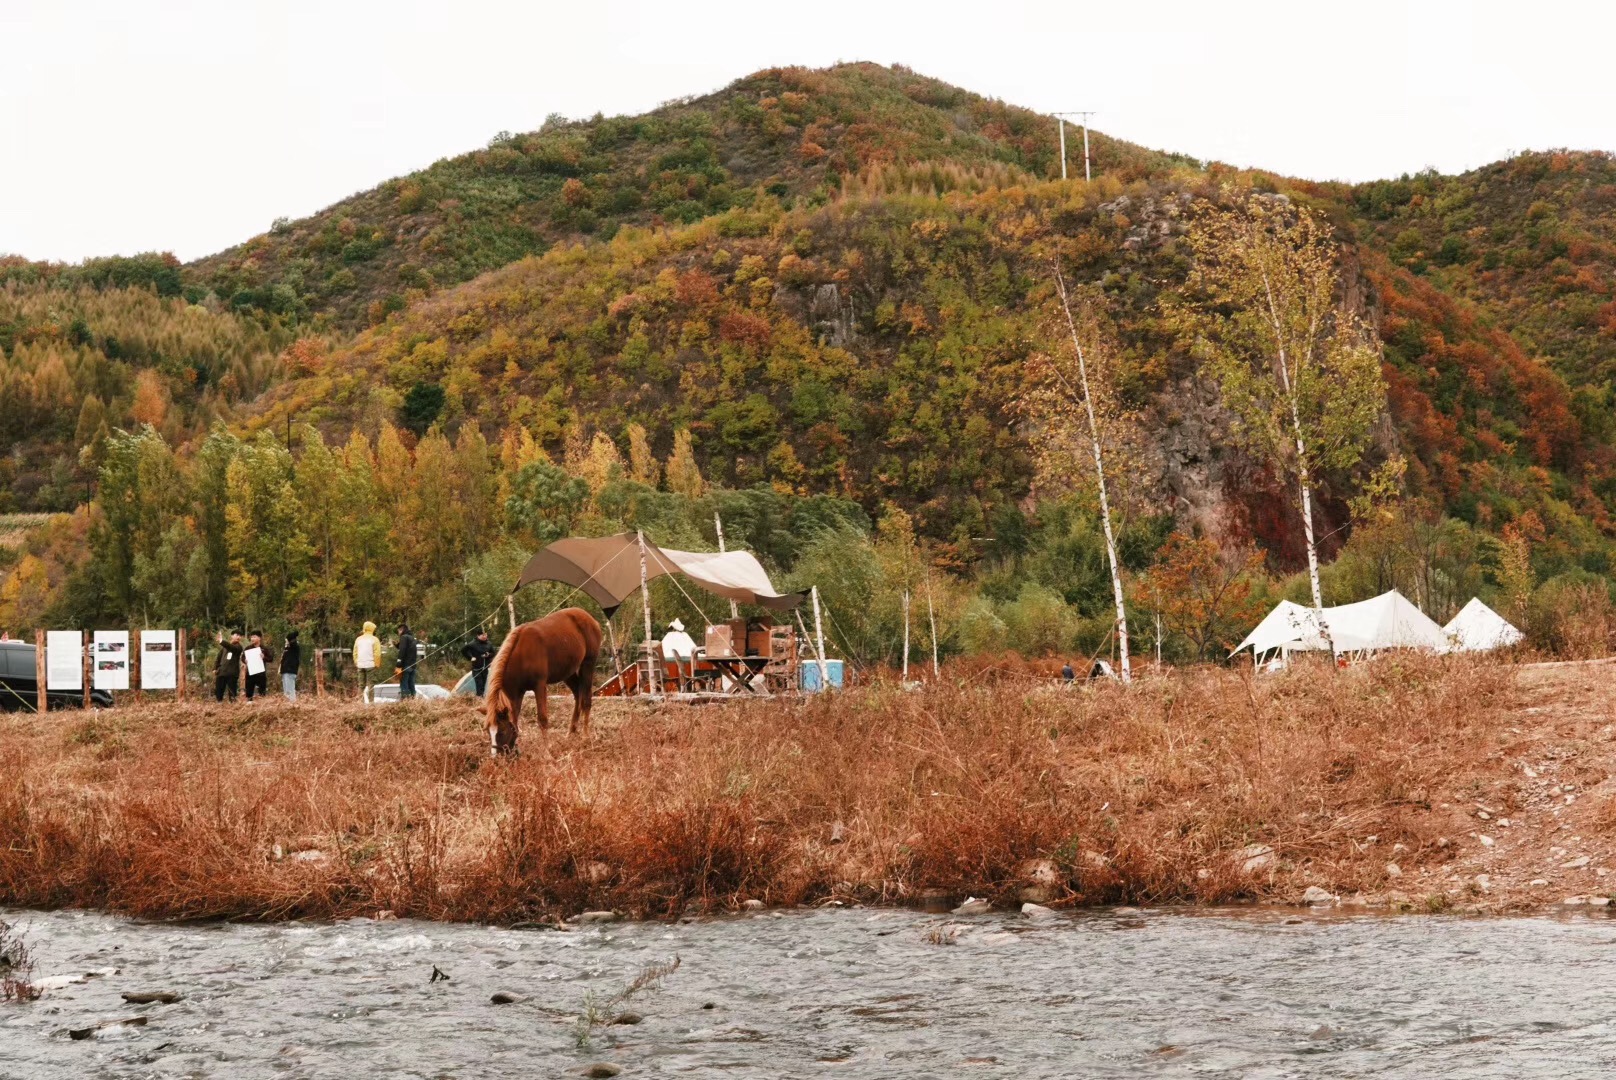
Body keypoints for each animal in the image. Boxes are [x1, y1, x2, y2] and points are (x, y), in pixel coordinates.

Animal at [484, 604, 607, 756]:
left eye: (501, 731)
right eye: (488, 731)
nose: (496, 756)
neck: (521, 656)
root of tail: (590, 618)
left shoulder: (539, 686)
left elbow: (542, 718)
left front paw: (547, 752)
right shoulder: (518, 693)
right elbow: (515, 719)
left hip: (588, 665)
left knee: (586, 700)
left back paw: (585, 736)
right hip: (568, 672)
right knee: (578, 694)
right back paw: (570, 732)